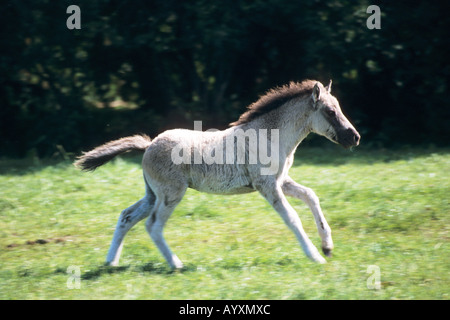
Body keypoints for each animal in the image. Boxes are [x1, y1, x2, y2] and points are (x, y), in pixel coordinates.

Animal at [76, 79, 358, 268]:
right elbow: (292, 218)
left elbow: (311, 195)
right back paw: (176, 264)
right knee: (153, 225)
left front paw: (327, 246)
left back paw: (111, 262)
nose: (354, 137)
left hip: (152, 194)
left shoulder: (281, 180)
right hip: (171, 194)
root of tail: (149, 145)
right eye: (330, 111)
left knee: (127, 216)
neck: (270, 136)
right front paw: (316, 256)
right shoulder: (267, 185)